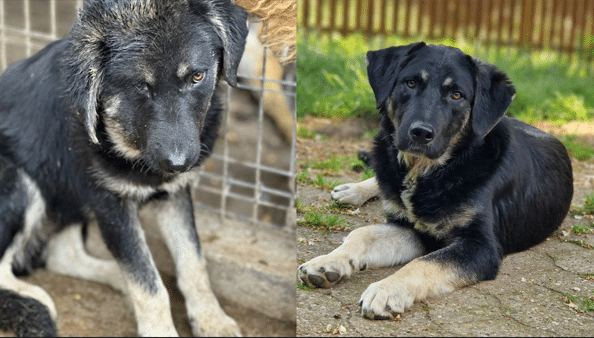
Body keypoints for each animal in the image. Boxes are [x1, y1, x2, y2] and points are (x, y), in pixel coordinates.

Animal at [0, 0, 247, 336]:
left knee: (64, 255)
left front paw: (212, 319)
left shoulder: (174, 193)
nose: (179, 163)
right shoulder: (111, 205)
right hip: (19, 180)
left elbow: (193, 262)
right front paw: (161, 331)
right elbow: (149, 286)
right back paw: (34, 300)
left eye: (197, 77)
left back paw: (116, 277)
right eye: (141, 87)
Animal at [298, 42, 572, 320]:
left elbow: (422, 263)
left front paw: (387, 290)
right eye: (410, 83)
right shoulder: (411, 228)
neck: (436, 170)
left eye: (457, 95)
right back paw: (354, 190)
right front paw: (329, 261)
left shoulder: (480, 248)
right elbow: (362, 234)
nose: (420, 133)